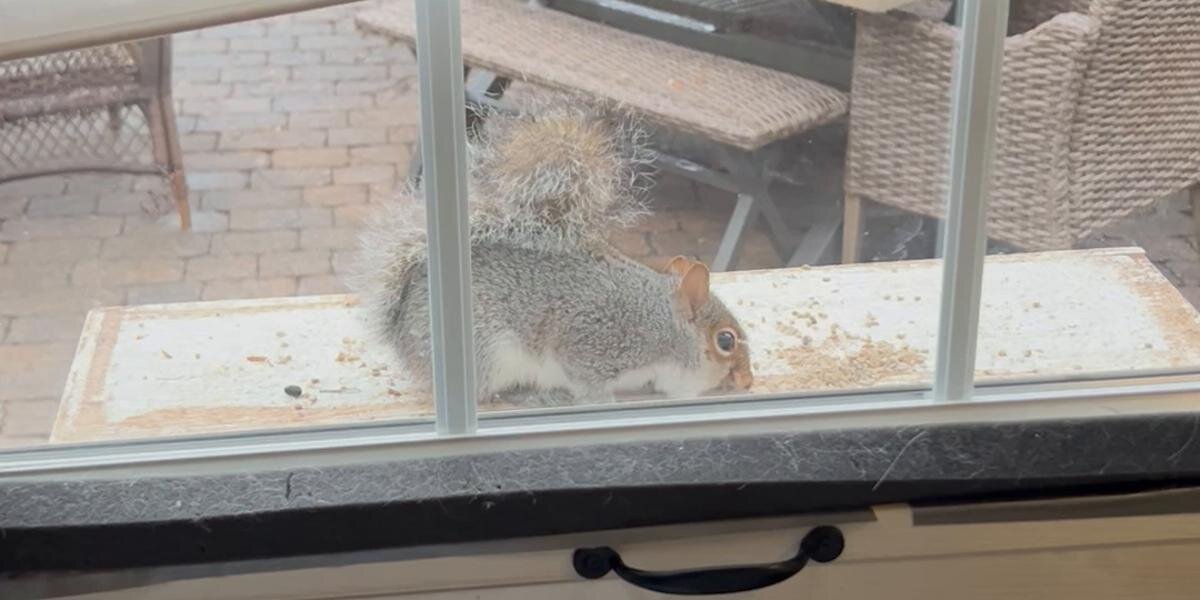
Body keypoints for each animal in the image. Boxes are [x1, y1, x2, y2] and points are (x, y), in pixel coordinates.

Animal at [351, 91, 753, 404]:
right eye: (726, 341)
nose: (748, 381)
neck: (663, 324)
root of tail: (403, 339)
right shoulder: (595, 343)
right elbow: (587, 383)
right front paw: (601, 402)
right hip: (486, 351)